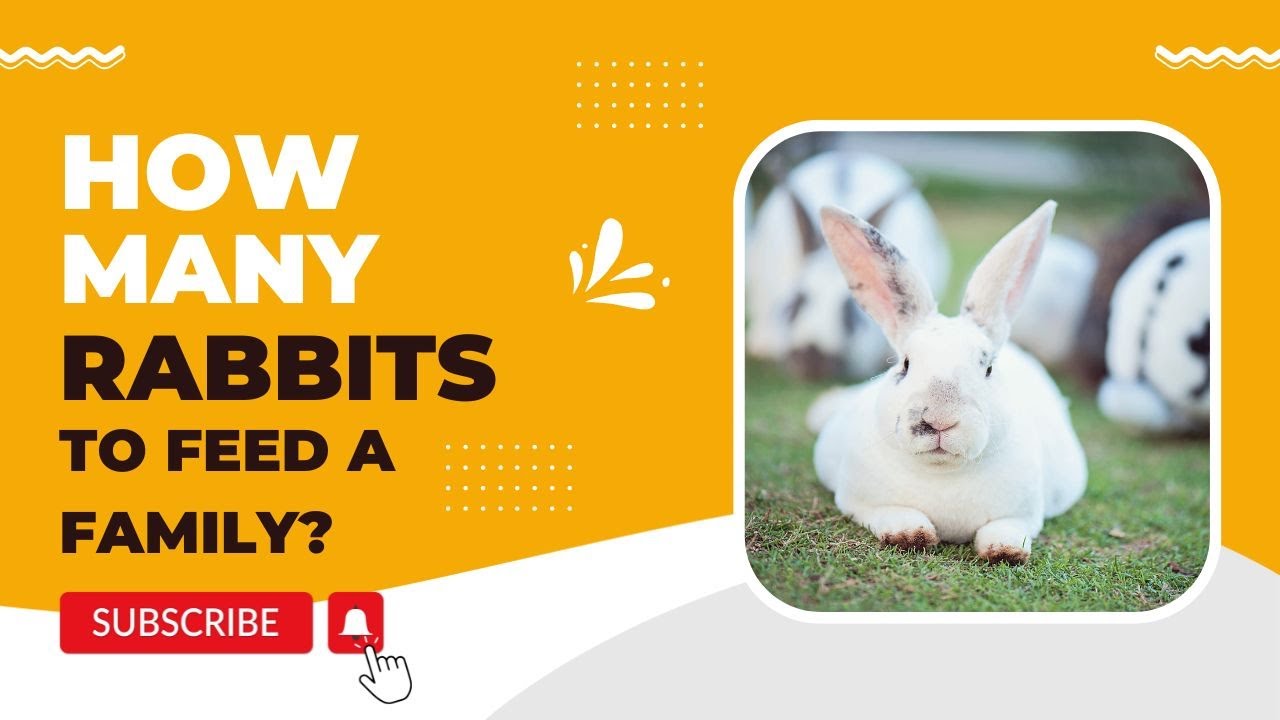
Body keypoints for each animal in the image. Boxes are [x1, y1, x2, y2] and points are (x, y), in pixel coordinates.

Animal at [811, 201, 1087, 564]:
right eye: (905, 364)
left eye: (988, 368)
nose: (939, 420)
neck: (942, 472)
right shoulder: (859, 502)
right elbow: (892, 514)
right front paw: (910, 535)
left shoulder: (1023, 515)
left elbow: (1004, 529)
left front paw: (1006, 552)